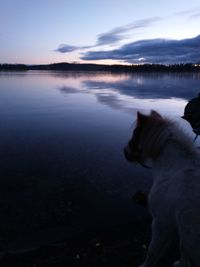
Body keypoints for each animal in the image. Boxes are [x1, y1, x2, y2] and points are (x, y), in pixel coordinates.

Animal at [124, 111, 200, 267]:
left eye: (135, 133)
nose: (125, 152)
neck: (175, 166)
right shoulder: (182, 229)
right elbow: (183, 249)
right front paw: (180, 264)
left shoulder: (161, 223)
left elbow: (152, 252)